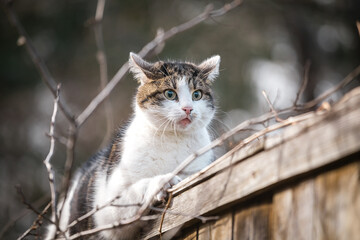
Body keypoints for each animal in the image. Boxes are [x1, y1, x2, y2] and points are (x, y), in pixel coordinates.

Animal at [45, 52, 219, 238]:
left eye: (197, 95)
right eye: (170, 94)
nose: (188, 109)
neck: (174, 139)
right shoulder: (106, 210)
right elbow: (134, 192)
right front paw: (163, 180)